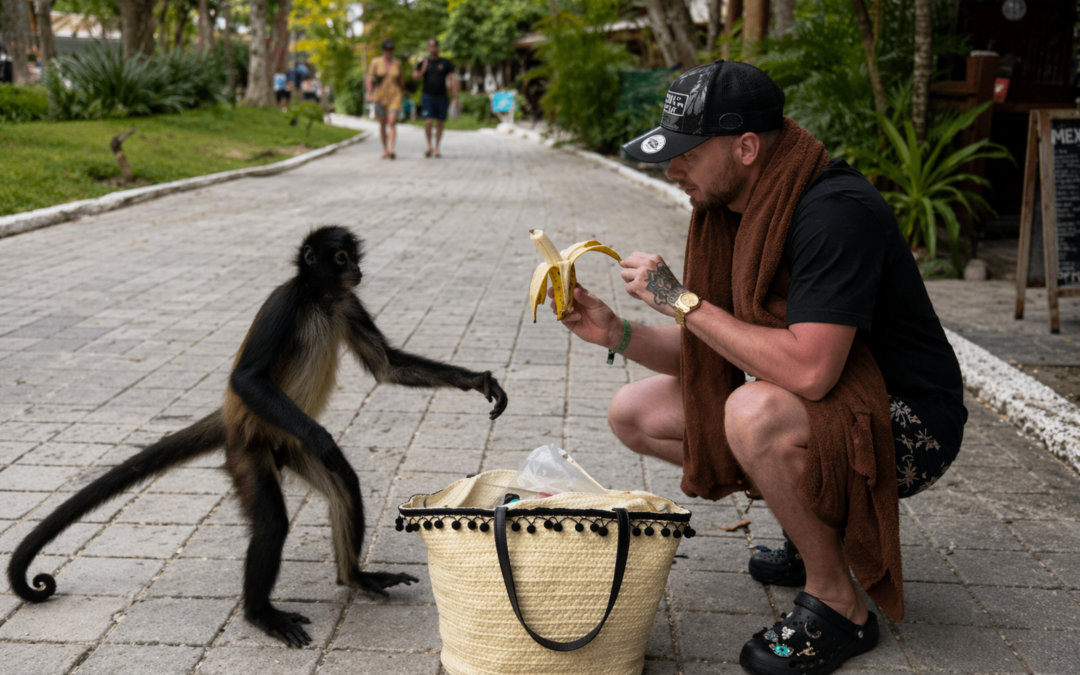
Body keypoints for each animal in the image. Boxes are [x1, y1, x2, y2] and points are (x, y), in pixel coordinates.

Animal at [8, 226, 508, 647]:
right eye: (340, 257)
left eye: (353, 257)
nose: (356, 271)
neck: (318, 299)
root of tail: (236, 421)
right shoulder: (285, 303)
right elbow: (248, 378)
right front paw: (326, 438)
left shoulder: (346, 302)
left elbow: (388, 367)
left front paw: (477, 381)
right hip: (251, 451)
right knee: (272, 520)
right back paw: (259, 613)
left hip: (289, 445)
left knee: (343, 485)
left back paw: (355, 578)